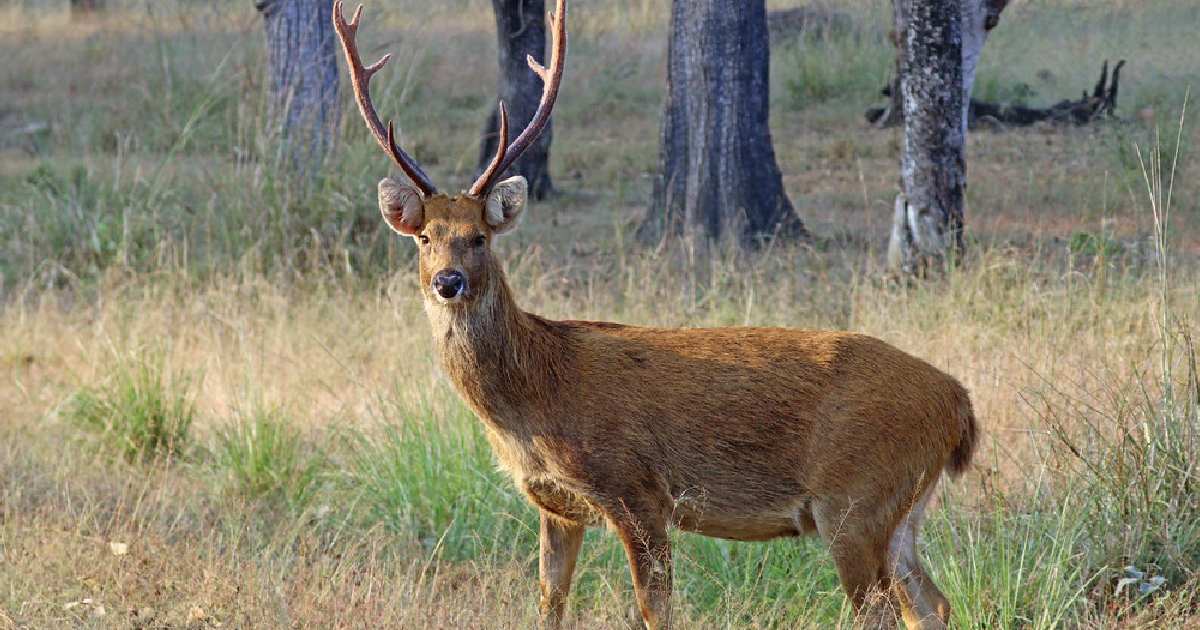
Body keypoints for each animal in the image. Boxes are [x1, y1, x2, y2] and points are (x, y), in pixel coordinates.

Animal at [331, 2, 974, 624]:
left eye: (480, 237)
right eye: (425, 238)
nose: (448, 282)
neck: (537, 395)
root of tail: (957, 402)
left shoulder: (637, 490)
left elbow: (653, 608)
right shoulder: (556, 506)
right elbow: (549, 603)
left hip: (854, 497)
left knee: (883, 610)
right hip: (899, 509)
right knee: (932, 602)